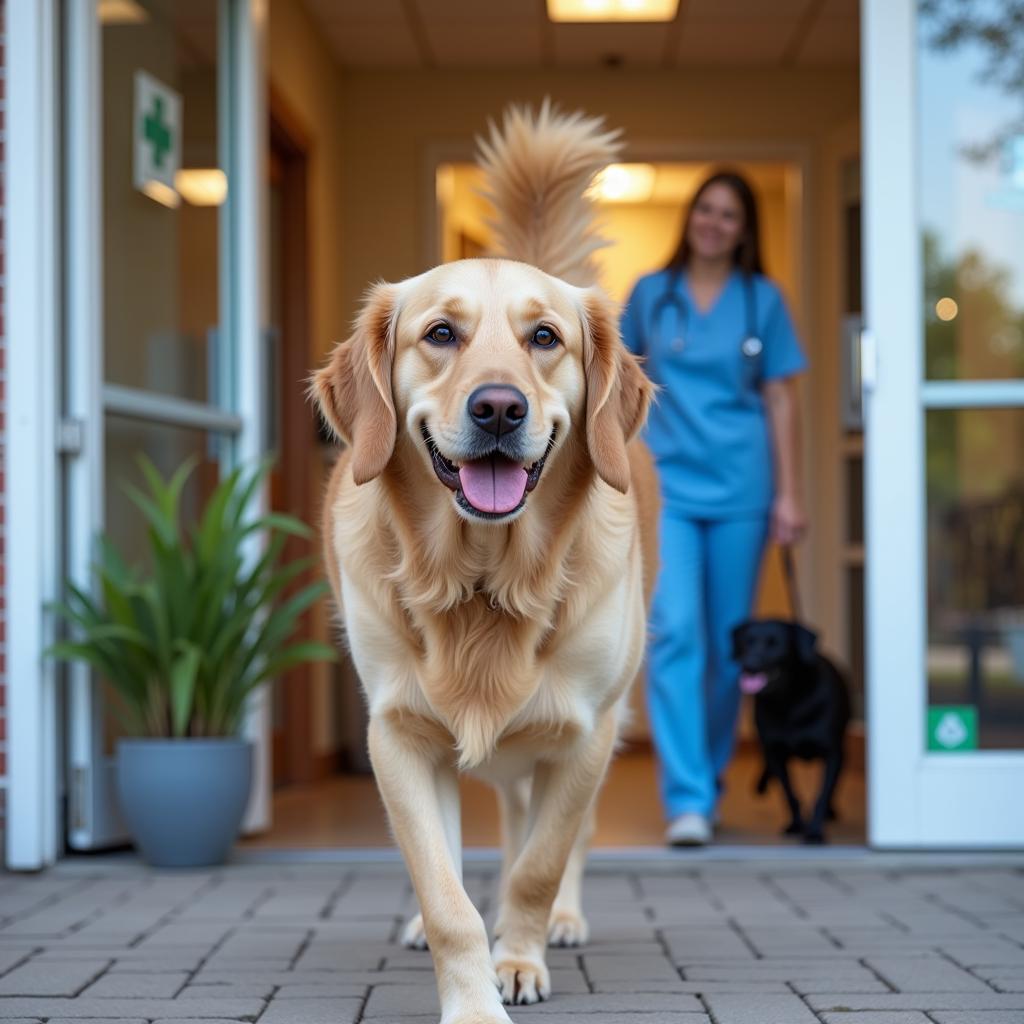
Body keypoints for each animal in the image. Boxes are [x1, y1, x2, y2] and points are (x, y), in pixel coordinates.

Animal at [733, 618, 851, 843]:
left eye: (776, 644)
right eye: (746, 642)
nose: (749, 665)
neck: (789, 702)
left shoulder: (833, 753)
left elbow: (823, 794)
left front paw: (814, 831)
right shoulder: (776, 753)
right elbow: (790, 794)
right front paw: (796, 825)